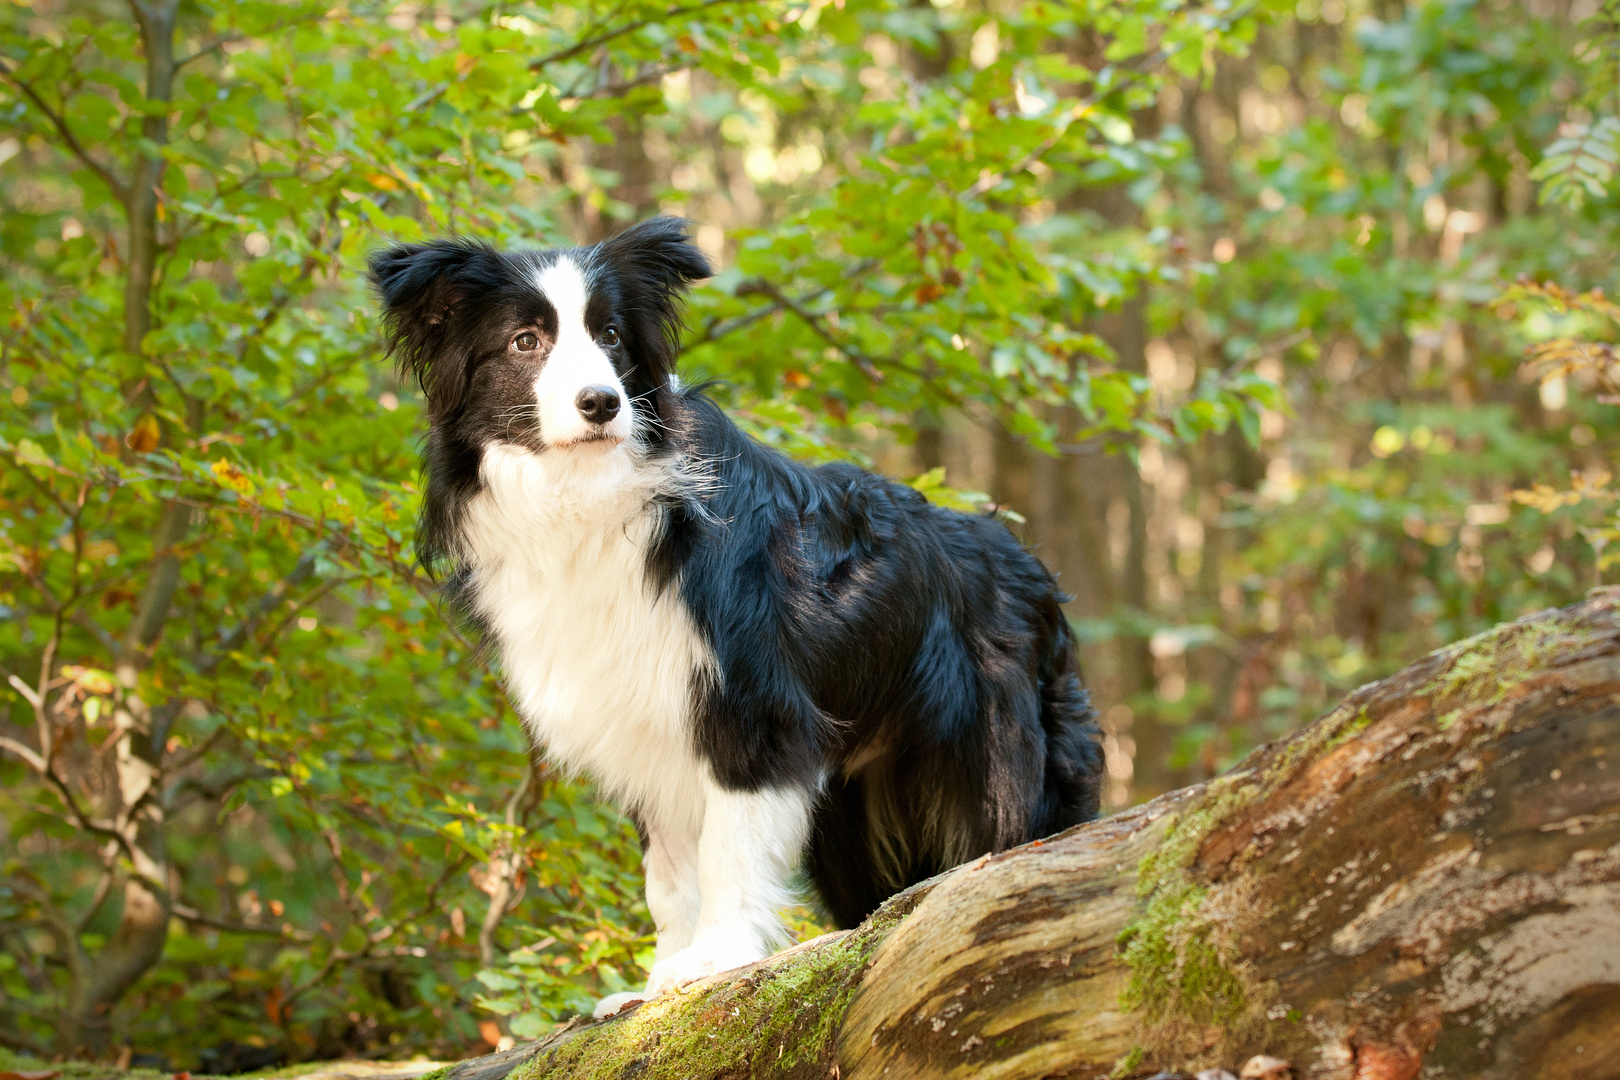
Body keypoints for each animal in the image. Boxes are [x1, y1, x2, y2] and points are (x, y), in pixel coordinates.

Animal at [367, 216, 1101, 1016]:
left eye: (612, 335)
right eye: (526, 341)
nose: (602, 403)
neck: (587, 496)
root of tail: (1036, 573)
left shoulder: (752, 706)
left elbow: (726, 846)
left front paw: (713, 960)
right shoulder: (643, 721)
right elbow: (667, 874)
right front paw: (653, 986)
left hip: (994, 753)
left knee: (1013, 839)